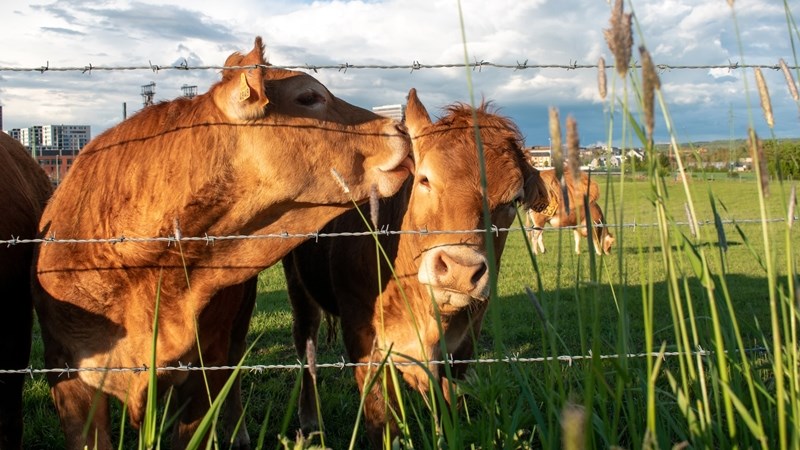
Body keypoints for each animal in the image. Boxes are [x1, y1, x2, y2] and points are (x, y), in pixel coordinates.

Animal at [282, 88, 552, 446]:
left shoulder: (462, 347)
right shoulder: (365, 345)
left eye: (512, 201)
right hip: (299, 288)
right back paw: (310, 420)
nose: (460, 269)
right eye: (424, 179)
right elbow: (385, 426)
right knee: (306, 345)